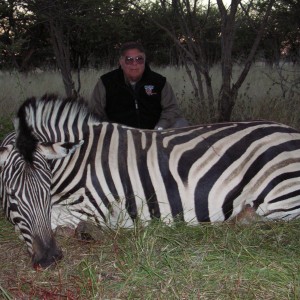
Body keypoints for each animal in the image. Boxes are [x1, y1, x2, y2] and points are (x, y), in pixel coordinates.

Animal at [0, 94, 300, 268]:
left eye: (46, 191)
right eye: (12, 196)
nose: (49, 259)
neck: (79, 159)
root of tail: (292, 131)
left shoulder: (95, 208)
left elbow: (56, 221)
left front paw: (87, 232)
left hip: (279, 197)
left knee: (262, 220)